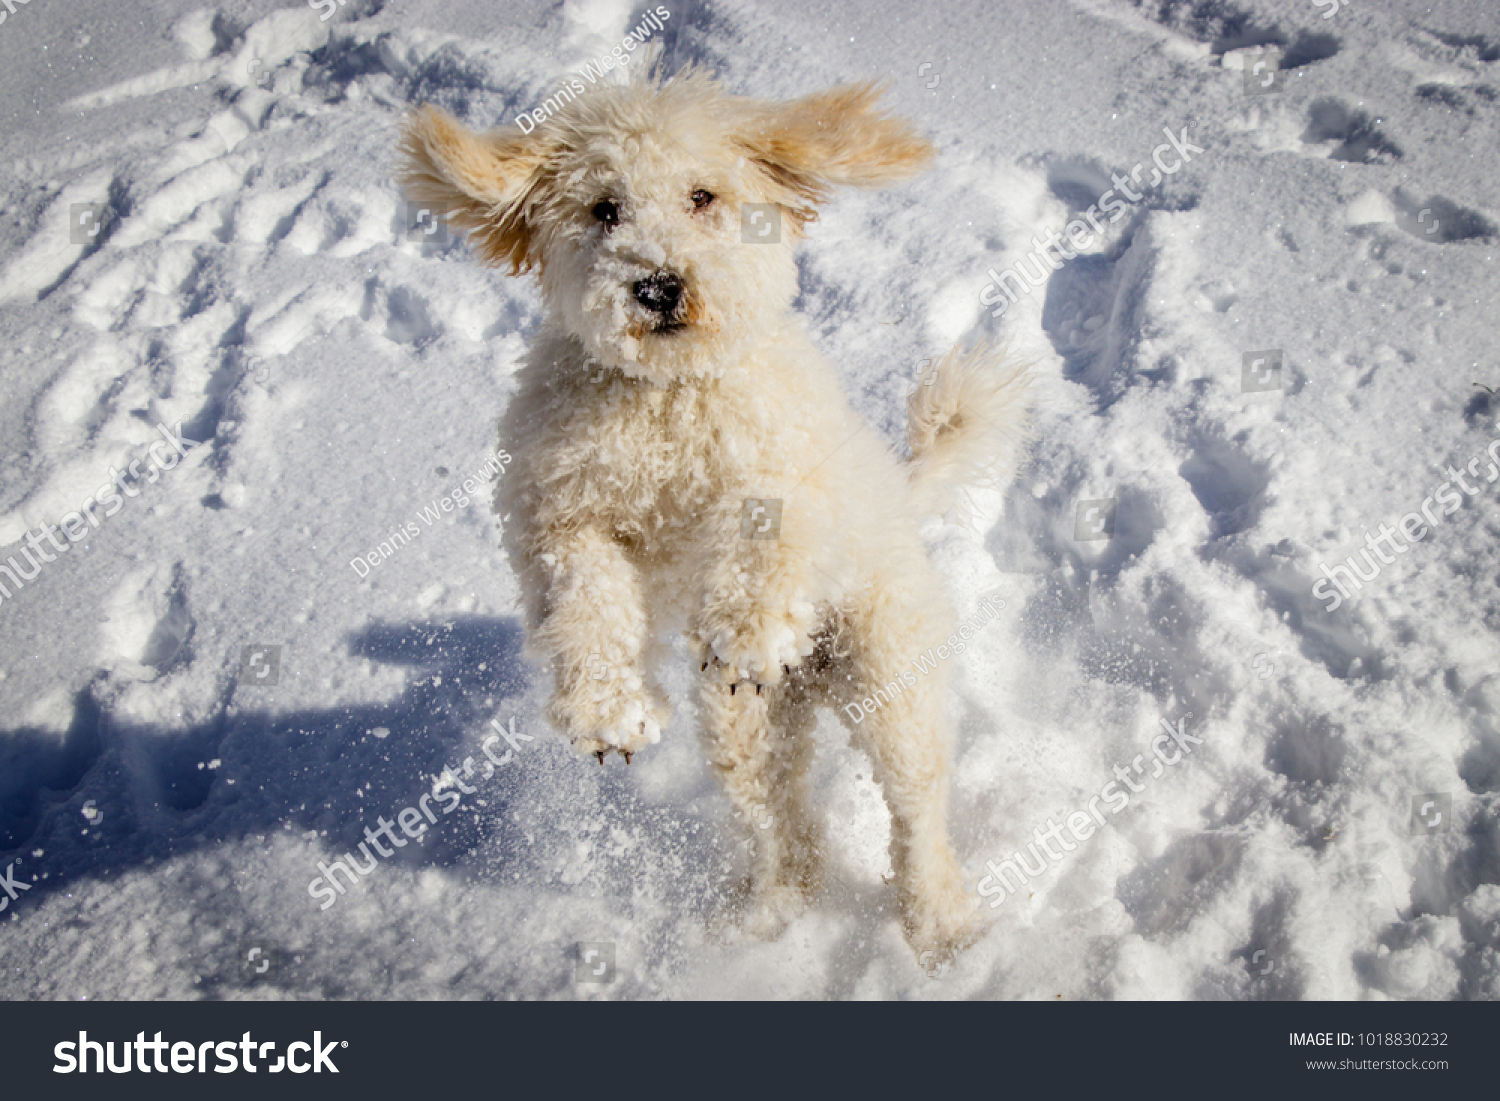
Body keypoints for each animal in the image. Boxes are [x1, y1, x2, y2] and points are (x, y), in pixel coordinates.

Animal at [399, 66, 1032, 960]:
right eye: (604, 208)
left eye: (703, 196)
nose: (659, 285)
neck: (667, 396)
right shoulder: (559, 511)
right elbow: (584, 595)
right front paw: (607, 709)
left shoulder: (786, 469)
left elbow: (764, 523)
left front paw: (750, 627)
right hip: (748, 726)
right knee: (780, 816)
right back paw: (767, 912)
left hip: (888, 671)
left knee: (917, 808)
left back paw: (940, 924)